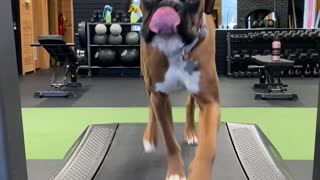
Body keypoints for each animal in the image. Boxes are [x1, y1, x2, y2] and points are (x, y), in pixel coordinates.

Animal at [140, 0, 220, 179]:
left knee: (189, 104)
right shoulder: (159, 95)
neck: (177, 51)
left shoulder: (210, 103)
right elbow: (169, 139)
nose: (167, 5)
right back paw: (150, 136)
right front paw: (175, 171)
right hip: (148, 83)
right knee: (152, 105)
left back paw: (190, 132)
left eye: (192, 1)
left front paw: (199, 173)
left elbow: (208, 149)